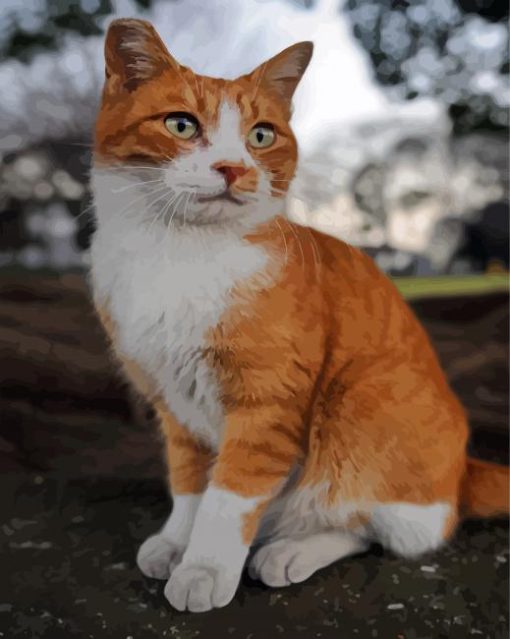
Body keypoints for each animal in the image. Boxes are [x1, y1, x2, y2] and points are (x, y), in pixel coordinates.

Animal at [89, 20, 508, 616]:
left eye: (261, 136)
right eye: (181, 124)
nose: (233, 168)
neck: (178, 255)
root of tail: (465, 472)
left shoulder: (267, 407)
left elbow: (227, 498)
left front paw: (205, 567)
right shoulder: (174, 405)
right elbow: (190, 484)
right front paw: (176, 542)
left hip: (359, 413)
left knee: (369, 529)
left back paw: (289, 551)